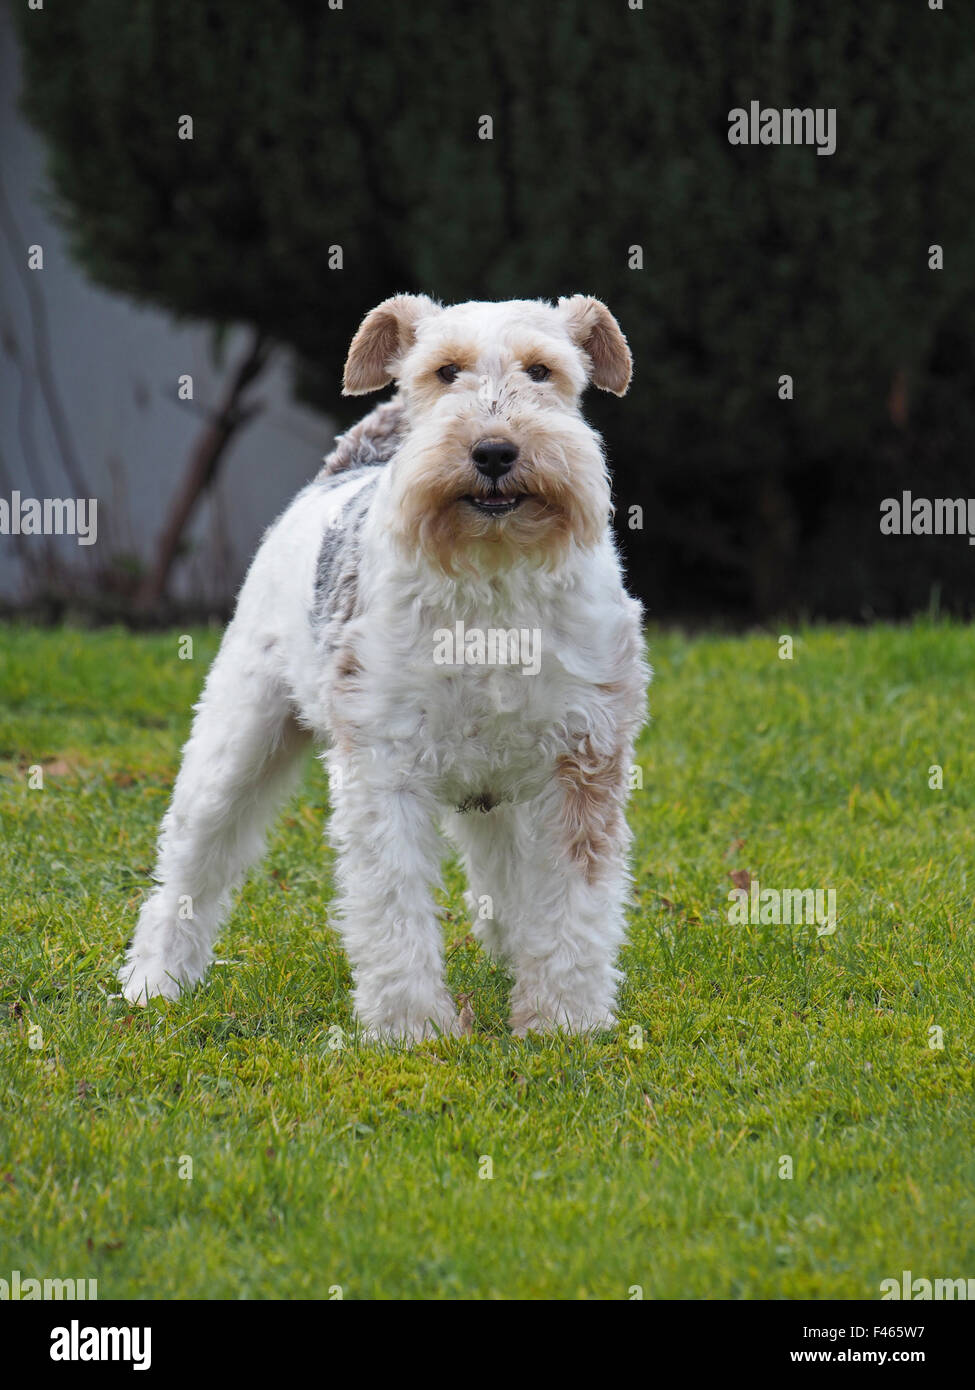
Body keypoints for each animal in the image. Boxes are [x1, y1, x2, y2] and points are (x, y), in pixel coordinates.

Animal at [123, 298, 653, 1039]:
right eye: (444, 371)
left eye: (543, 371)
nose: (494, 452)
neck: (492, 580)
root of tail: (344, 469)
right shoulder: (384, 760)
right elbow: (392, 903)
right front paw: (411, 1030)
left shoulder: (583, 755)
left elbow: (574, 901)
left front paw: (562, 1022)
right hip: (237, 741)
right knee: (190, 867)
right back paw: (153, 983)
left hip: (496, 780)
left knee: (502, 866)